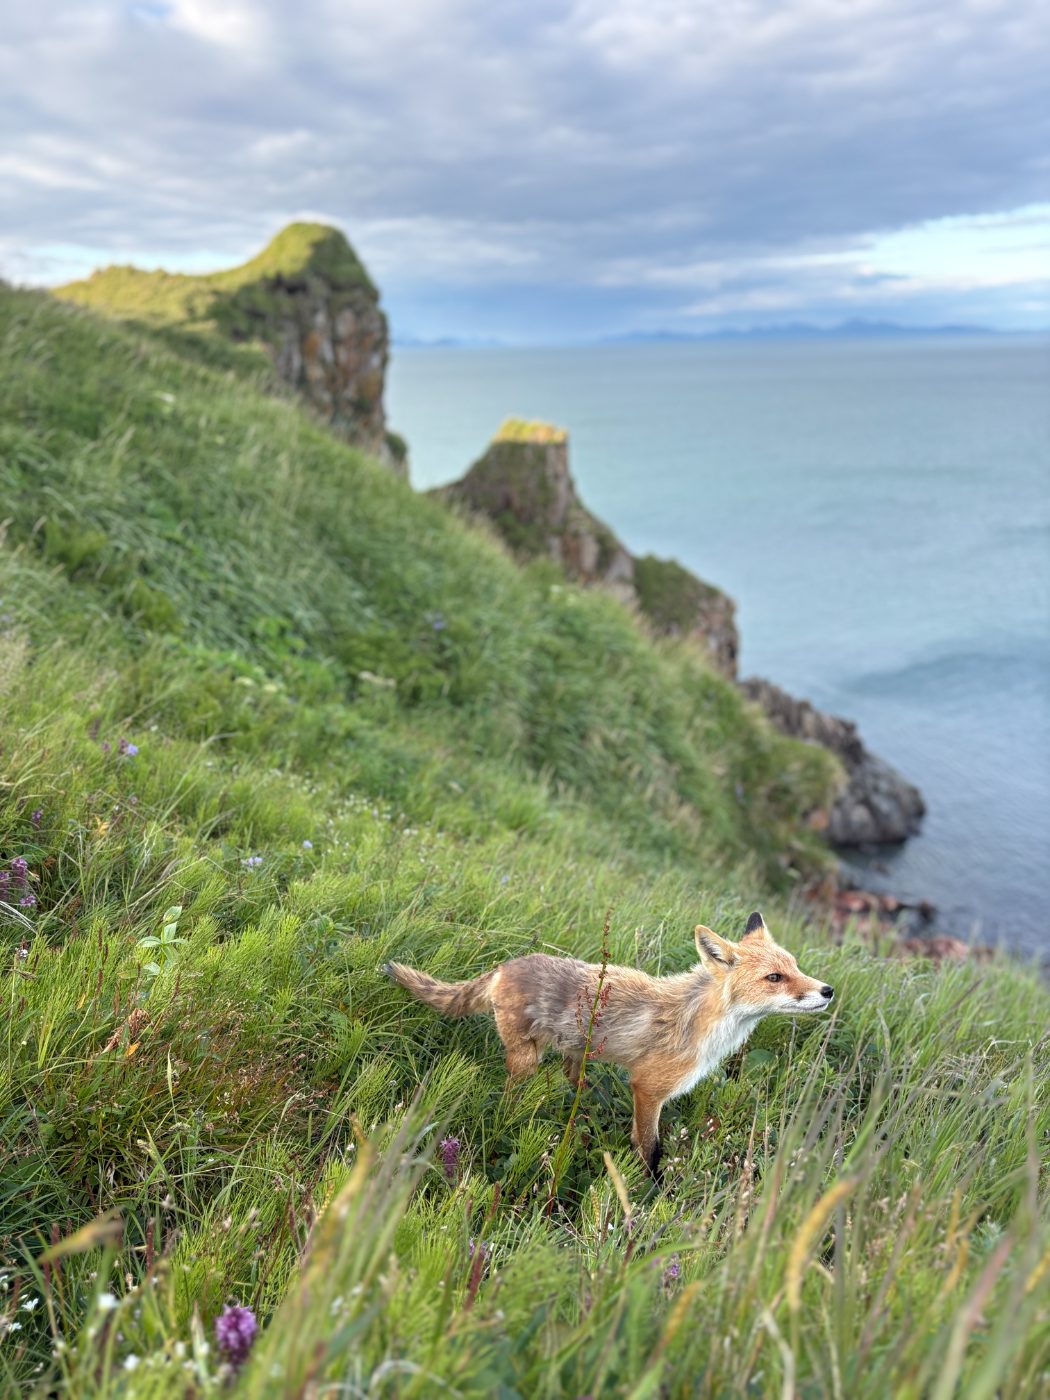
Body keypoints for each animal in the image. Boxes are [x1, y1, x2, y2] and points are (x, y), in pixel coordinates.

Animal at [386, 911, 834, 1175]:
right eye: (774, 978)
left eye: (795, 967)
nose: (828, 991)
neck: (700, 1024)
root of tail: (505, 965)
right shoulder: (648, 1089)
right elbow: (650, 1148)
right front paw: (648, 1194)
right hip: (526, 1060)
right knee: (511, 1099)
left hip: (571, 1053)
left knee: (572, 1081)